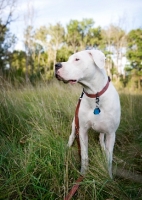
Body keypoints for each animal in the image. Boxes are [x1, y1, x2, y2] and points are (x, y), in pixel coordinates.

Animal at [55, 49, 120, 177]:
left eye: (77, 59)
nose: (56, 65)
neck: (95, 95)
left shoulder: (111, 133)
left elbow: (109, 158)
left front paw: (109, 176)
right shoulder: (82, 130)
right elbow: (84, 156)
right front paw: (83, 174)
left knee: (101, 137)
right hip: (74, 124)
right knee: (71, 136)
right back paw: (67, 147)